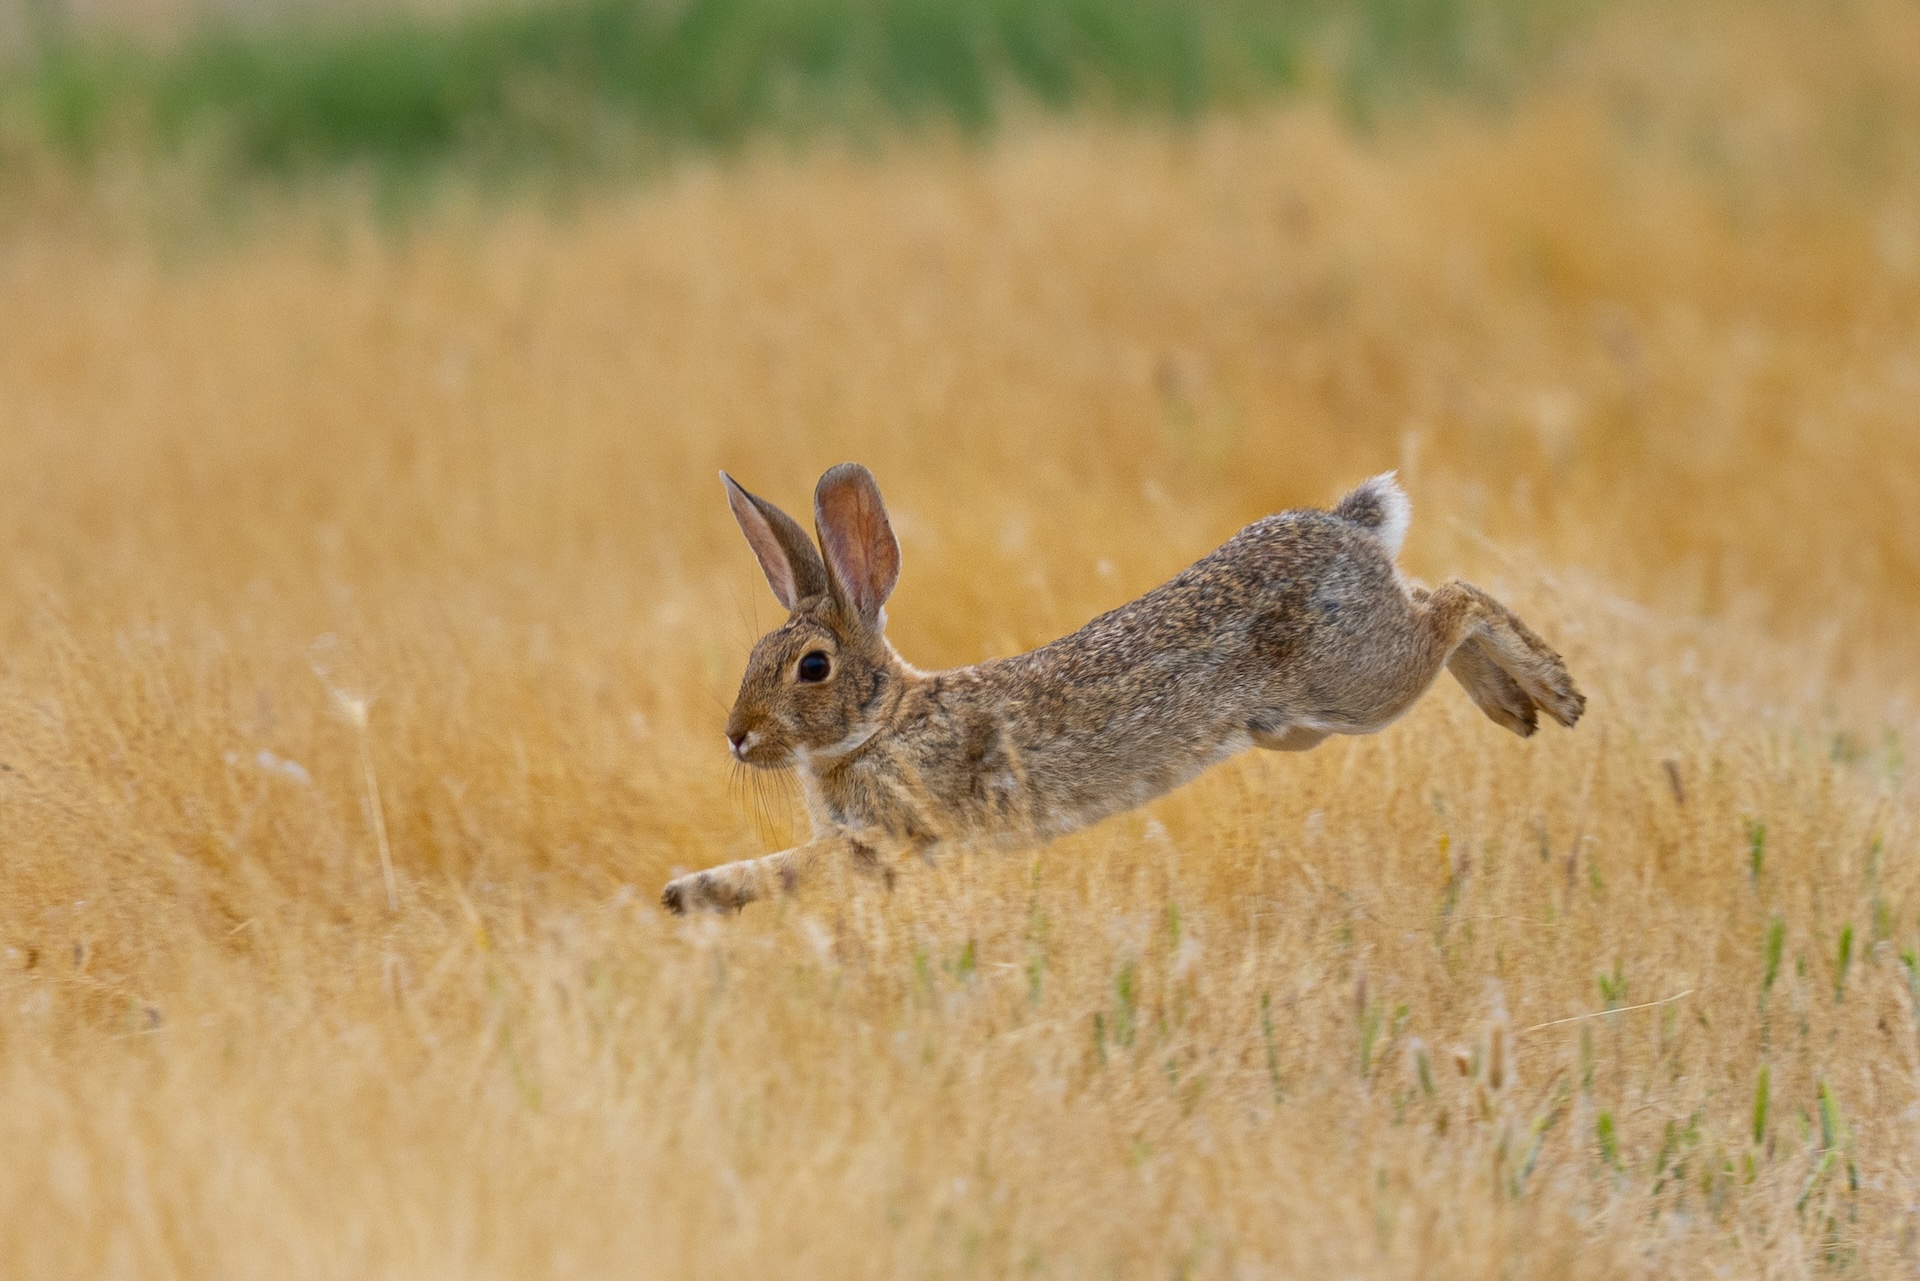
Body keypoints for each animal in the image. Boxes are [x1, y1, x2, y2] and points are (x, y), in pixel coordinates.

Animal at [661, 464, 1583, 914]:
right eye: (755, 652)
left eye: (812, 666)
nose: (737, 735)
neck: (883, 719)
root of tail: (1348, 528)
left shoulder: (887, 833)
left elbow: (798, 864)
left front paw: (694, 894)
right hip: (1310, 715)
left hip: (1359, 680)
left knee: (1457, 600)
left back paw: (1549, 693)